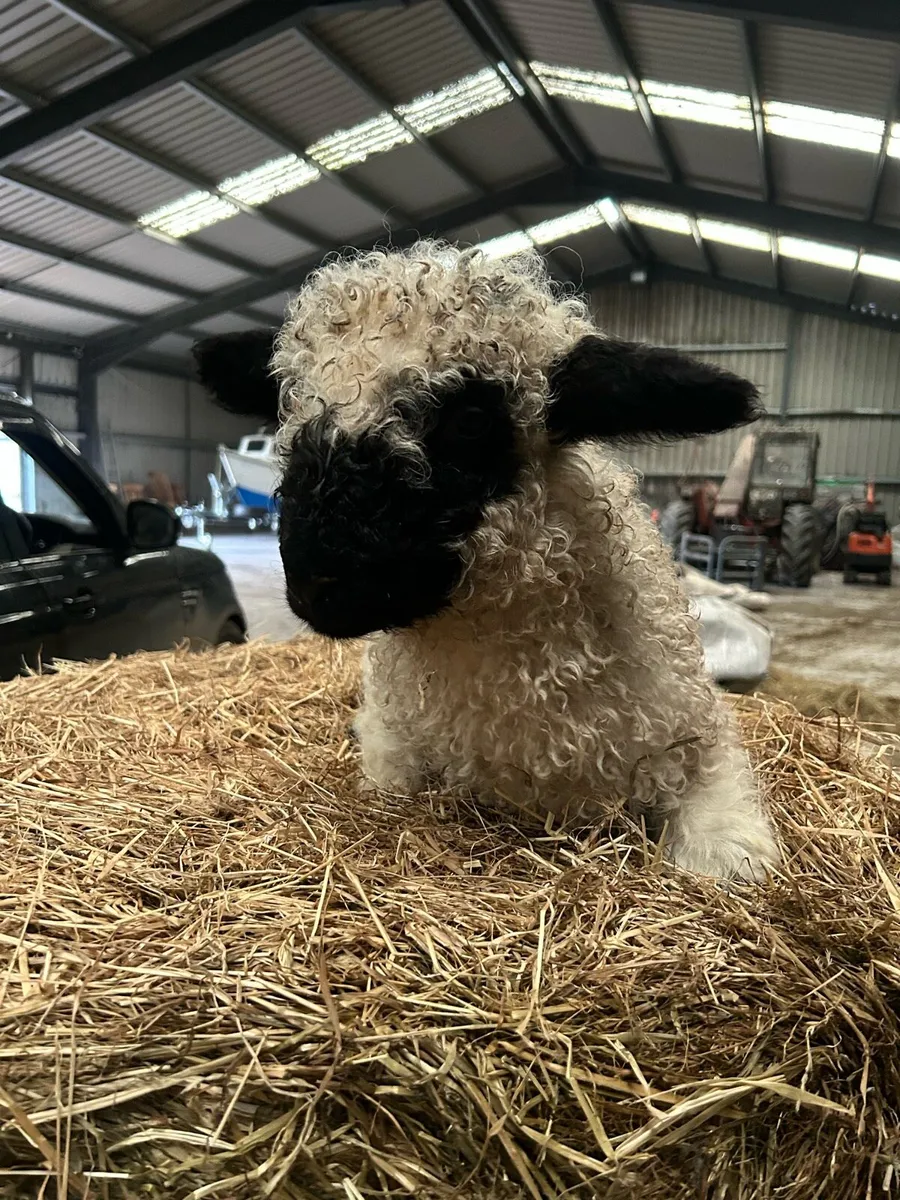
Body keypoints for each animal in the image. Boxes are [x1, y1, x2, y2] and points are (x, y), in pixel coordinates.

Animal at [193, 242, 780, 881]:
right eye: (292, 405)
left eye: (471, 421)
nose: (315, 583)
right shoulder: (390, 746)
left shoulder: (699, 740)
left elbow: (725, 852)